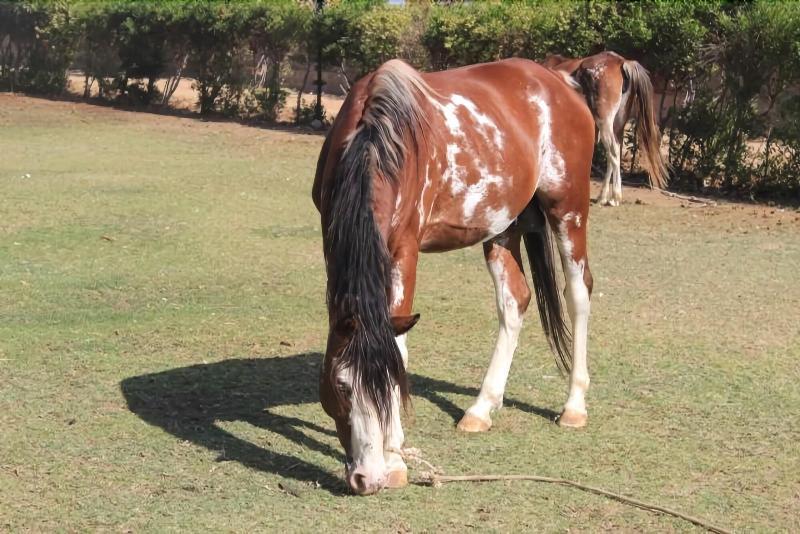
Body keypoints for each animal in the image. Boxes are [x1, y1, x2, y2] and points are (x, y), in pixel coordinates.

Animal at [310, 56, 592, 496]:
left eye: (392, 385)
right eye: (340, 386)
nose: (367, 479)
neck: (376, 143)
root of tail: (560, 81)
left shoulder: (404, 250)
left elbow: (399, 345)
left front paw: (395, 458)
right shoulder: (331, 238)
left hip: (569, 210)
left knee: (578, 294)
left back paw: (574, 406)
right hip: (502, 226)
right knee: (514, 302)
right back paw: (481, 408)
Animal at [544, 51, 668, 207]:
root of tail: (622, 62)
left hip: (605, 122)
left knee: (613, 152)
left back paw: (615, 197)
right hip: (617, 126)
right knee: (614, 154)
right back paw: (604, 196)